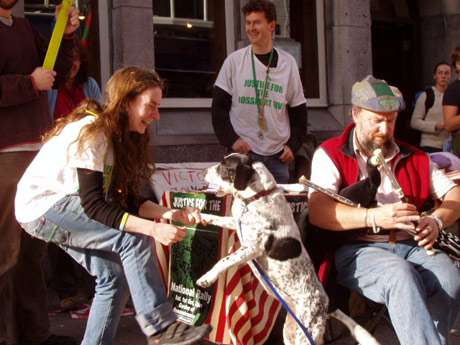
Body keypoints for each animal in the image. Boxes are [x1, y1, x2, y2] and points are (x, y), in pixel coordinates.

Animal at [196, 155, 380, 344]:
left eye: (224, 167)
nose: (201, 173)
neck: (256, 196)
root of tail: (328, 303)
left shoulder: (253, 247)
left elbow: (223, 261)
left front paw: (206, 278)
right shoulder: (237, 225)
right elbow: (216, 218)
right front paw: (199, 215)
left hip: (305, 335)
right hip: (290, 331)